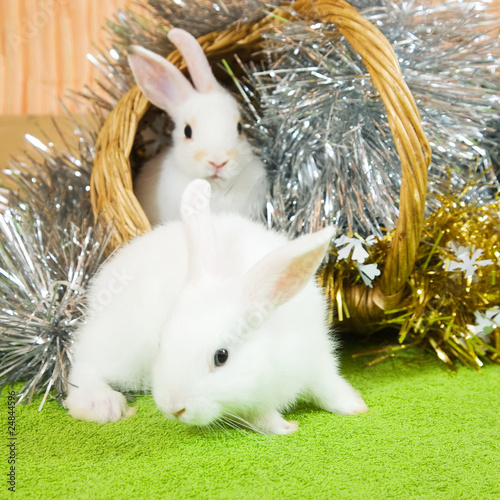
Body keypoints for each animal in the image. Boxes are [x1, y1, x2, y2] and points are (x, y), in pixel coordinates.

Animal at [65, 180, 368, 434]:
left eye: (221, 357)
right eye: (161, 344)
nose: (174, 408)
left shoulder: (317, 361)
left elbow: (330, 388)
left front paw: (356, 406)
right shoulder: (253, 403)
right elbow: (262, 418)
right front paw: (285, 427)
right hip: (119, 348)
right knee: (85, 366)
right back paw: (101, 404)